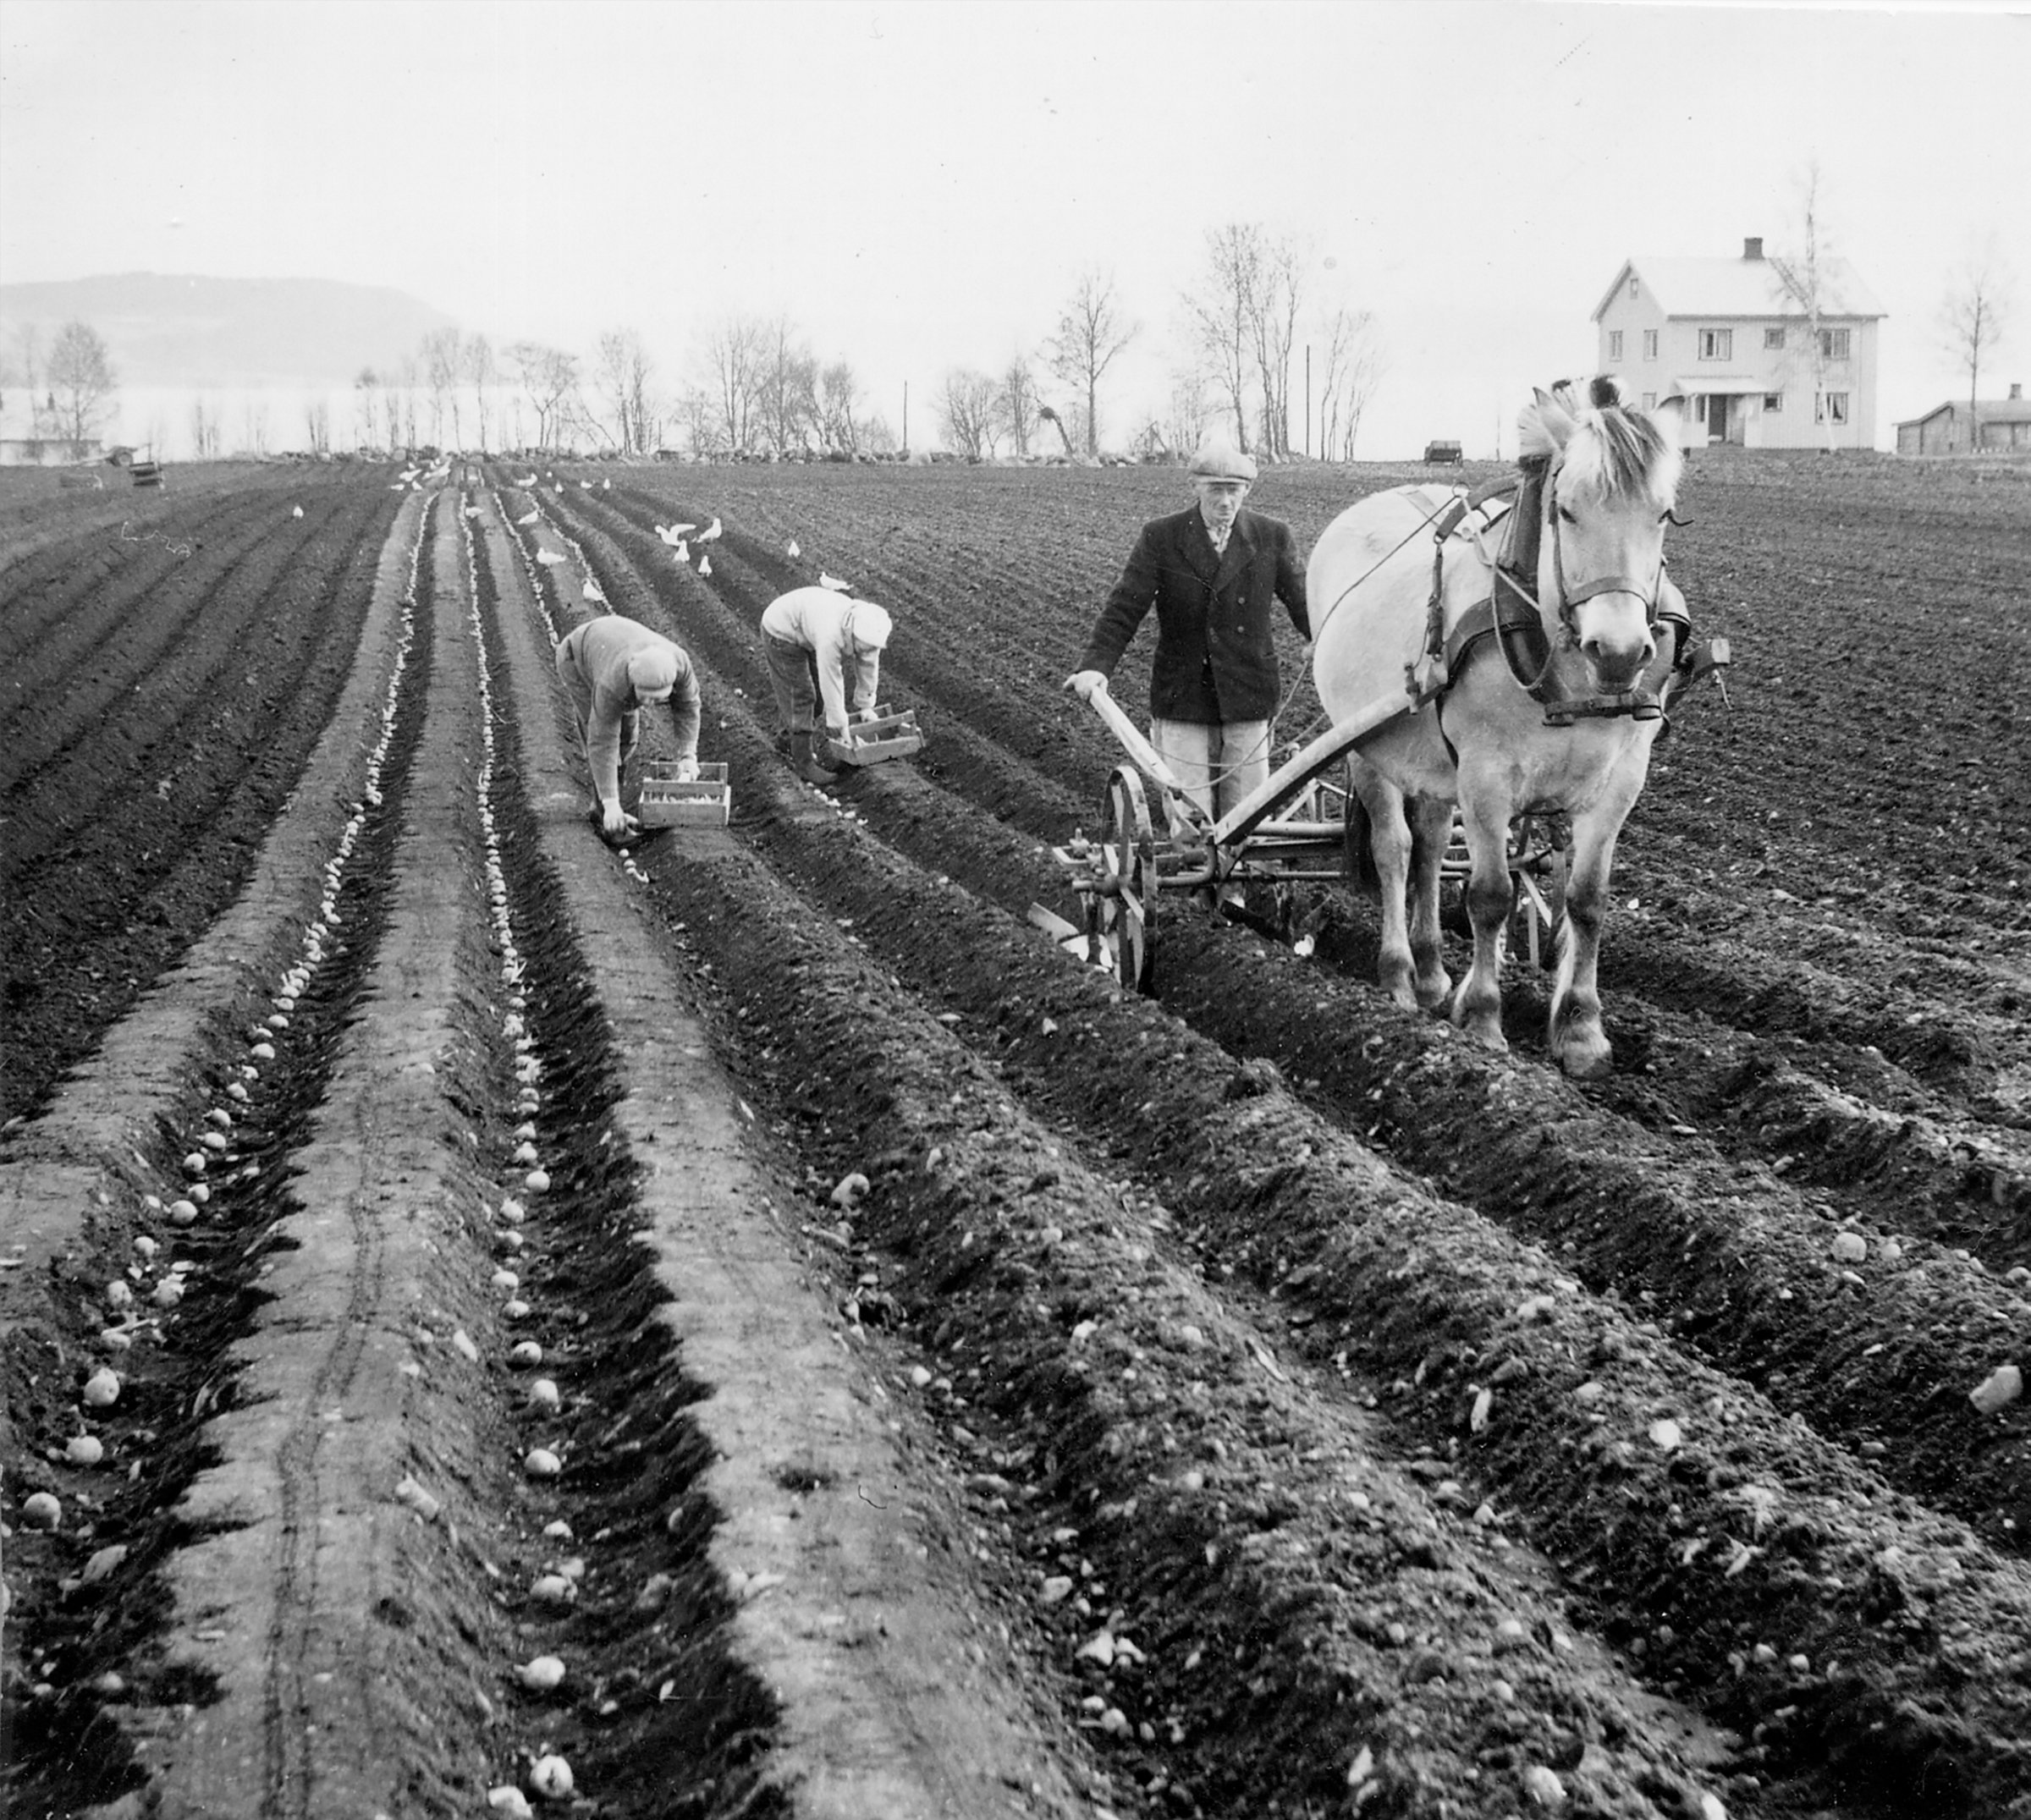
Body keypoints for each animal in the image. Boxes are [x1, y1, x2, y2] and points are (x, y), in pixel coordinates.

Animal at [1308, 377, 1690, 1077]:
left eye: (1663, 513)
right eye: (1566, 511)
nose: (1619, 652)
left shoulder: (1621, 781)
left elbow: (1588, 901)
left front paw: (1581, 1028)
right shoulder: (1487, 777)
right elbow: (1489, 894)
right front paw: (1483, 1017)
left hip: (1432, 760)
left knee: (1431, 847)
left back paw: (1432, 969)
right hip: (1365, 745)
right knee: (1395, 850)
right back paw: (1399, 974)